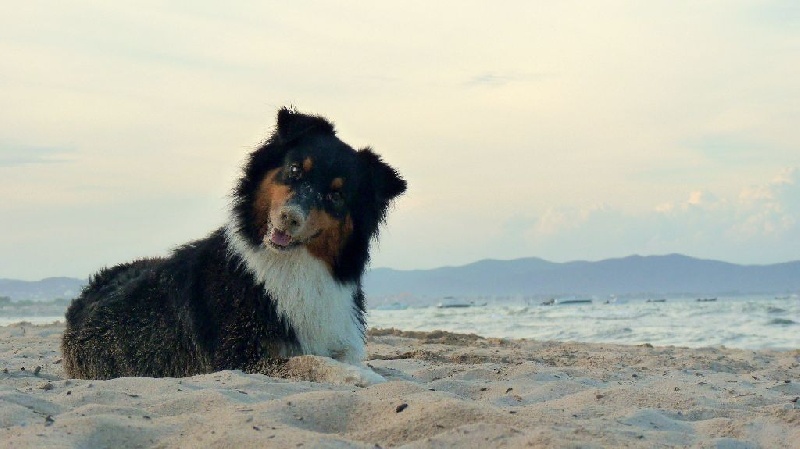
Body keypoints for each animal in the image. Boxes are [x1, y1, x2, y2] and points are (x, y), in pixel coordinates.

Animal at [61, 107, 406, 384]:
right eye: (295, 169)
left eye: (336, 195)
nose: (289, 218)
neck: (294, 265)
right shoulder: (238, 358)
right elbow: (312, 361)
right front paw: (360, 377)